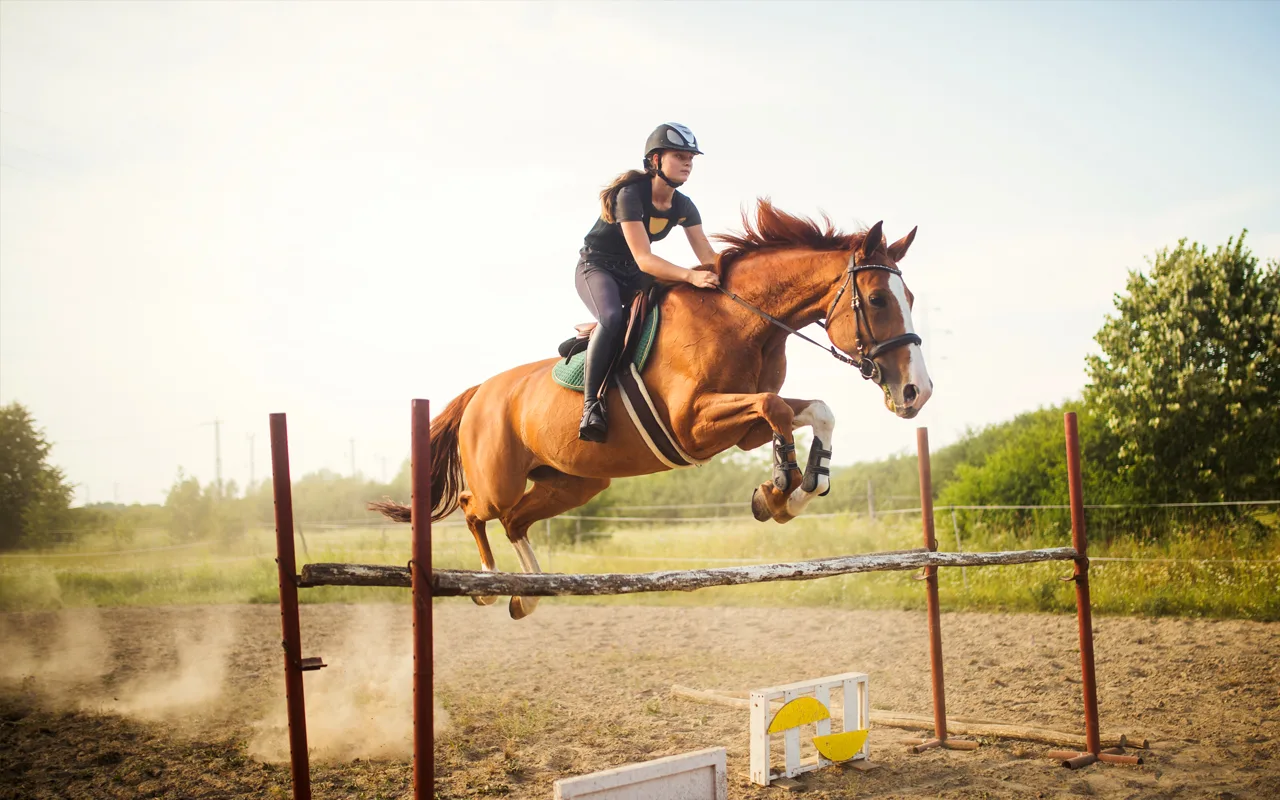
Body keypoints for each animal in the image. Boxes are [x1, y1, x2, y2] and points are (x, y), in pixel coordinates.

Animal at [371, 198, 931, 616]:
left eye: (910, 299)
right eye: (878, 299)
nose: (916, 392)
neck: (744, 323)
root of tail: (480, 392)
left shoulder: (739, 429)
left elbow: (814, 411)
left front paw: (793, 491)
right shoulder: (693, 425)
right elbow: (775, 408)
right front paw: (779, 488)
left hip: (575, 483)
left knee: (515, 521)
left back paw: (528, 594)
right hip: (499, 480)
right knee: (474, 508)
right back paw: (489, 585)